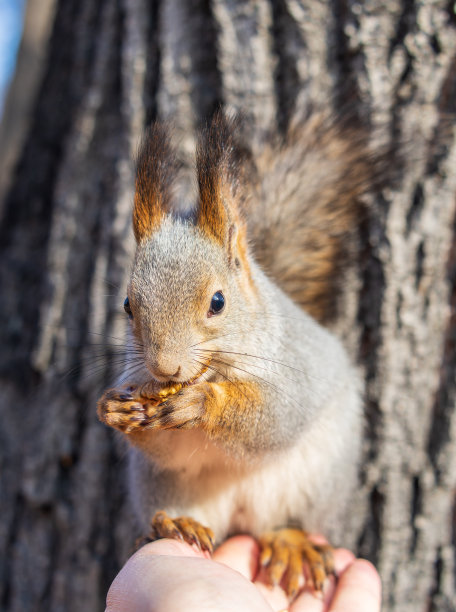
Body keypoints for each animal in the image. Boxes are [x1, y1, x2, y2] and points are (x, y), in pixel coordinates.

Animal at [96, 110, 378, 596]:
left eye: (218, 302)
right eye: (128, 305)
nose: (165, 368)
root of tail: (242, 516)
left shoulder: (294, 372)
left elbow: (274, 417)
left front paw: (202, 403)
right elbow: (164, 446)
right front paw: (115, 408)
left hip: (314, 480)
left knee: (285, 522)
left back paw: (291, 544)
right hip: (163, 485)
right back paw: (175, 525)